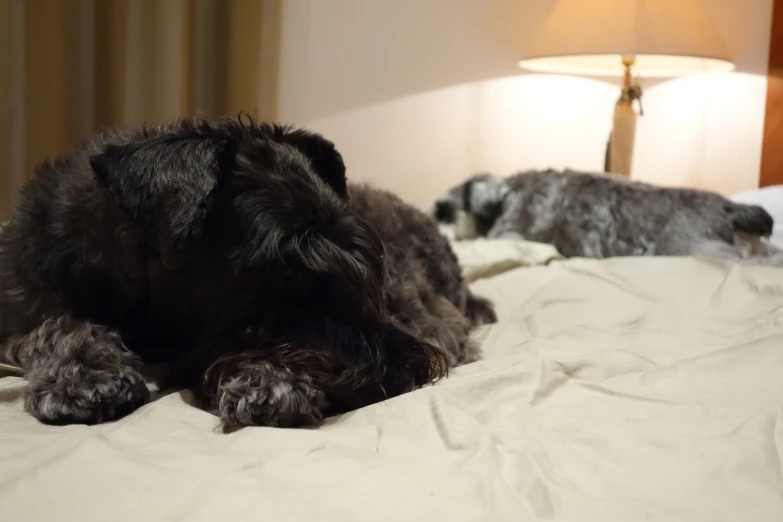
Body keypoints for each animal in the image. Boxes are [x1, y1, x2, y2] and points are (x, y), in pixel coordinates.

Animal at [0, 118, 494, 430]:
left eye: (369, 261)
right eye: (289, 271)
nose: (406, 370)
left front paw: (266, 382)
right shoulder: (25, 307)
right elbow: (53, 328)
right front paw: (85, 374)